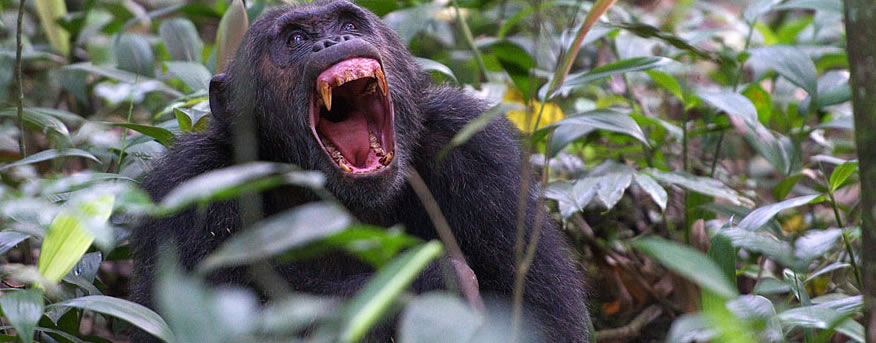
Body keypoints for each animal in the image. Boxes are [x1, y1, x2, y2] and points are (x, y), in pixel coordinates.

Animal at [128, 0, 588, 342]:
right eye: (296, 39)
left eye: (350, 22)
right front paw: (437, 280)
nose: (335, 40)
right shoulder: (190, 189)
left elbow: (542, 315)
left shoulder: (480, 155)